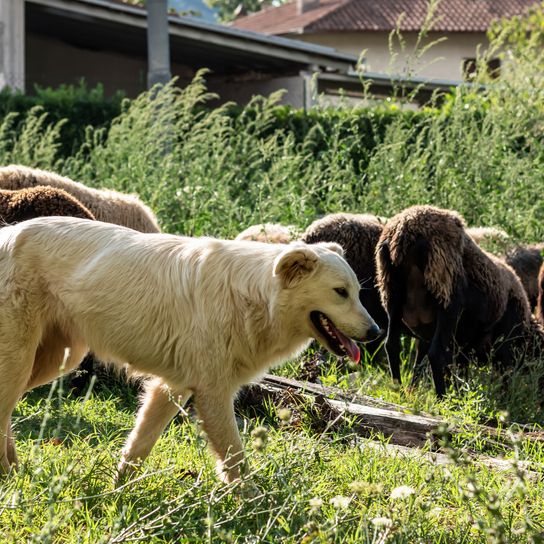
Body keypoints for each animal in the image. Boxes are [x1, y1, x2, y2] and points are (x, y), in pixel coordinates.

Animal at [0, 217, 380, 480]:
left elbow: (136, 450)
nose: (375, 331)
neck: (253, 298)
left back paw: (15, 471)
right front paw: (256, 510)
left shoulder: (171, 388)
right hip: (21, 363)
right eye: (340, 292)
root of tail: (8, 234)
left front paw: (116, 493)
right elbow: (237, 465)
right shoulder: (213, 395)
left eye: (357, 293)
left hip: (53, 361)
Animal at [376, 204, 532, 396]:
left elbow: (422, 362)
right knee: (436, 354)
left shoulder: (429, 334)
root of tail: (403, 233)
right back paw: (442, 397)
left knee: (392, 345)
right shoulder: (504, 342)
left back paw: (399, 390)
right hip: (447, 298)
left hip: (391, 296)